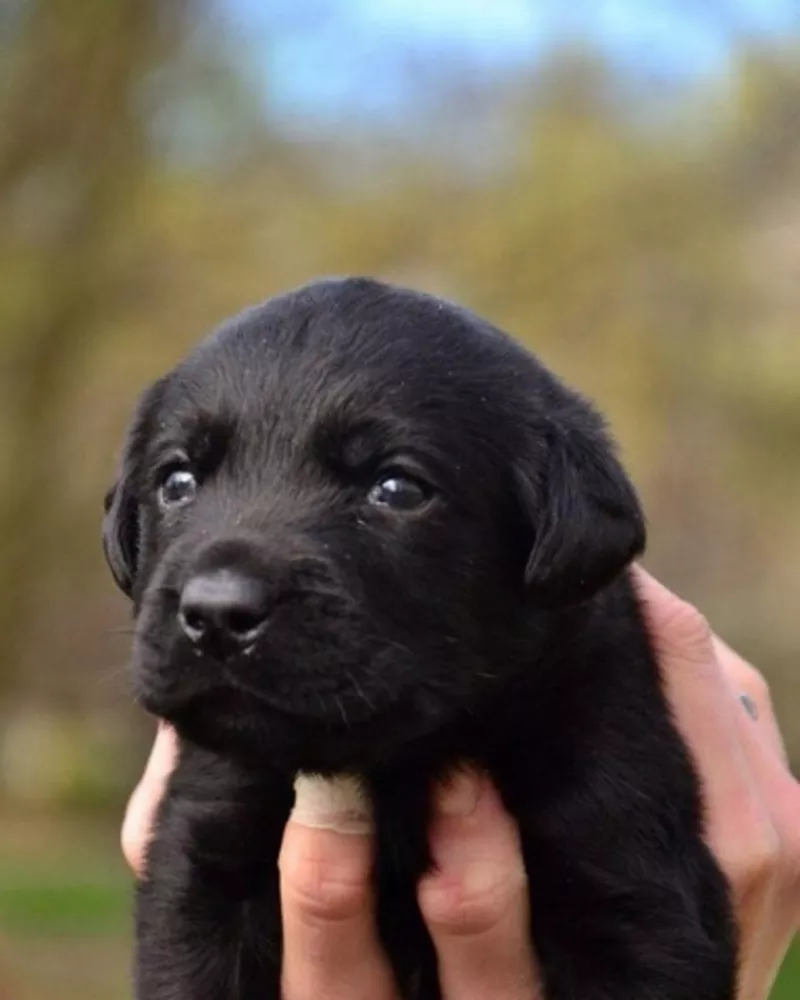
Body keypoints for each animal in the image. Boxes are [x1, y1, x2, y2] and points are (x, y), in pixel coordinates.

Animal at [104, 276, 736, 1000]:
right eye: (177, 481)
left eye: (398, 489)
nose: (216, 613)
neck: (398, 770)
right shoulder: (202, 861)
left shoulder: (631, 883)